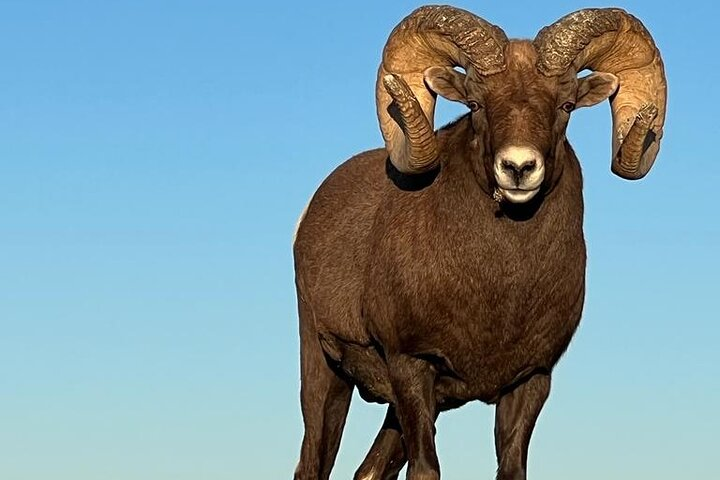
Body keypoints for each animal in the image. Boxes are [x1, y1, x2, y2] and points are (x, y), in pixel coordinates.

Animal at [292, 5, 666, 480]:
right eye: (475, 104)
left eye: (565, 105)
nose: (519, 168)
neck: (499, 290)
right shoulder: (411, 367)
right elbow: (426, 468)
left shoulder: (530, 382)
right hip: (325, 373)